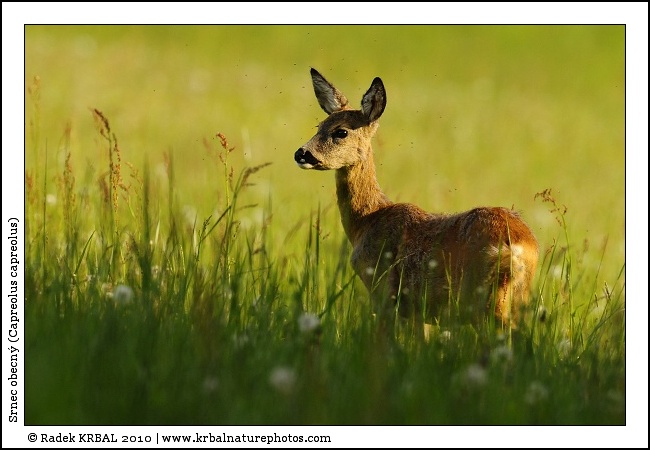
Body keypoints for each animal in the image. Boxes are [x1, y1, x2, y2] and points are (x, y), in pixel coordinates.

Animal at [294, 68, 539, 336]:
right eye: (319, 126)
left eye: (341, 131)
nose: (301, 153)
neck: (367, 220)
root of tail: (519, 245)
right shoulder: (418, 311)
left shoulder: (383, 289)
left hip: (484, 298)